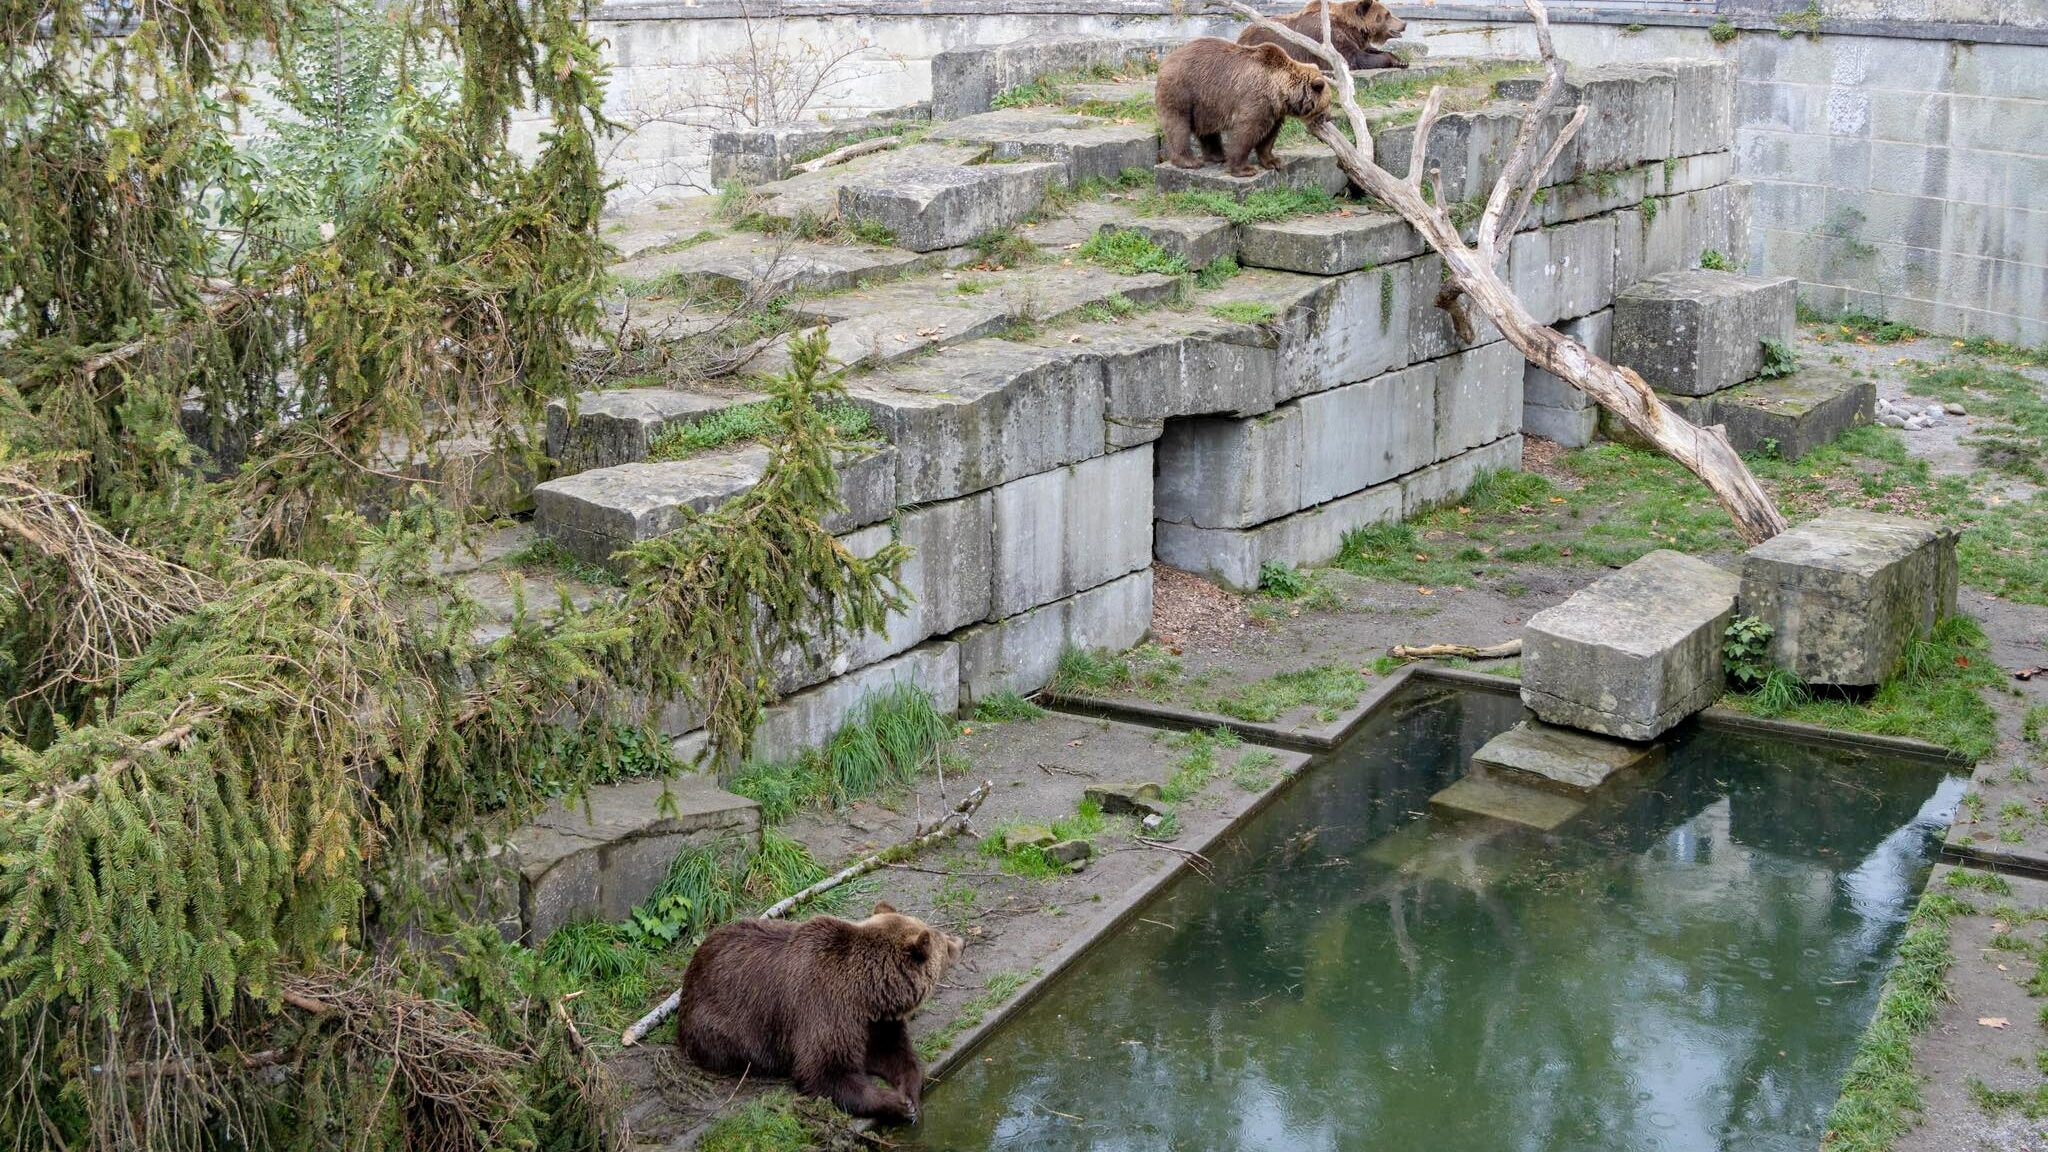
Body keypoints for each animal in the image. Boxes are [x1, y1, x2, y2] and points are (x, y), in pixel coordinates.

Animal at [667, 897, 962, 1123]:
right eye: (943, 941)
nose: (960, 941)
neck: (868, 993)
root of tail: (694, 962)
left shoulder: (874, 1021)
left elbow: (896, 1054)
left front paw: (911, 1095)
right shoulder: (824, 1009)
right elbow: (824, 1072)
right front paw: (897, 1104)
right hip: (720, 1020)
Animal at [1163, 39, 1335, 177]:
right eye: (1328, 102)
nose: (1328, 117)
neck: (1280, 91)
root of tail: (1168, 59)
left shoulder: (1274, 111)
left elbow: (1269, 136)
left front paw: (1274, 161)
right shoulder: (1256, 99)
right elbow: (1247, 132)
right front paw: (1245, 169)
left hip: (1207, 103)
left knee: (1208, 130)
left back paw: (1217, 156)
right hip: (1183, 90)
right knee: (1178, 125)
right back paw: (1188, 161)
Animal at [1228, 0, 1409, 71]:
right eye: (1387, 14)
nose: (1404, 24)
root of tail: (1241, 34)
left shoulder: (1354, 39)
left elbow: (1368, 50)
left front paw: (1401, 60)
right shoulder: (1331, 38)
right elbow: (1354, 58)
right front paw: (1393, 60)